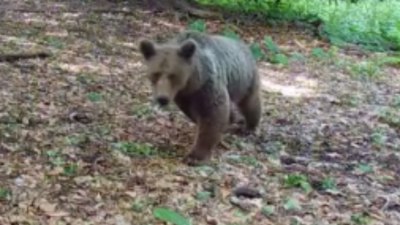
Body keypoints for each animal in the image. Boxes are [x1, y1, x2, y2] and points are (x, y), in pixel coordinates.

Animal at [138, 31, 262, 165]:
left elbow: (213, 114)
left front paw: (195, 156)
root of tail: (244, 45)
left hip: (245, 78)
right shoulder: (184, 96)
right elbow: (197, 114)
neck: (191, 82)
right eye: (155, 74)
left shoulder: (207, 85)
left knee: (250, 102)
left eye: (173, 75)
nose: (162, 98)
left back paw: (249, 126)